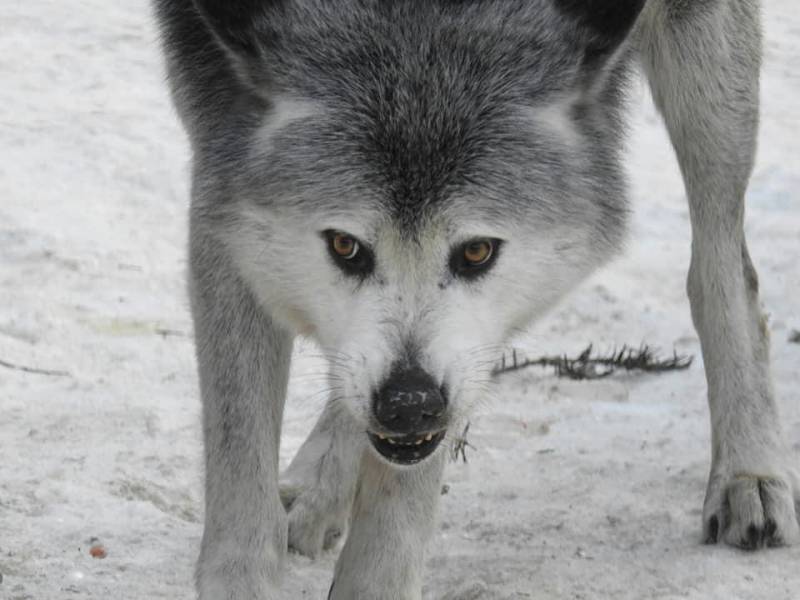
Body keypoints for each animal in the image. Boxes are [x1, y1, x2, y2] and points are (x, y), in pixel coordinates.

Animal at [153, 2, 796, 596]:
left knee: (723, 270)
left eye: (477, 251)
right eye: (344, 245)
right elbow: (240, 466)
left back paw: (749, 477)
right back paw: (316, 489)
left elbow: (398, 510)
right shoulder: (223, 186)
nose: (409, 404)